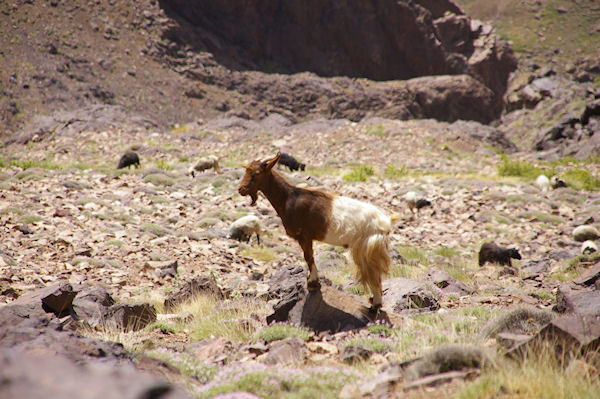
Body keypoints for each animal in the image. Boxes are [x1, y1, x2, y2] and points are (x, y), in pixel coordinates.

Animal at [238, 152, 398, 312]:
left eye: (256, 173)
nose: (241, 189)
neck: (288, 198)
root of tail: (385, 221)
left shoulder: (304, 236)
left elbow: (308, 257)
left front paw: (312, 283)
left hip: (367, 247)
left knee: (374, 274)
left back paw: (375, 305)